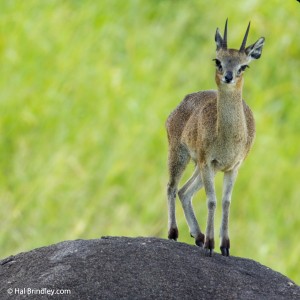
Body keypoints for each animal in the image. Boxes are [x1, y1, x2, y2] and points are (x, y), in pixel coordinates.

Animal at [166, 19, 264, 255]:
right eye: (217, 60)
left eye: (243, 66)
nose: (228, 76)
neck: (228, 138)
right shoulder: (208, 163)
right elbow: (212, 201)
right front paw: (211, 244)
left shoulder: (232, 167)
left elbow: (226, 202)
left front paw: (225, 246)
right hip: (180, 155)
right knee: (172, 187)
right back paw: (174, 233)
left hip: (199, 167)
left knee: (184, 191)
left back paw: (198, 235)